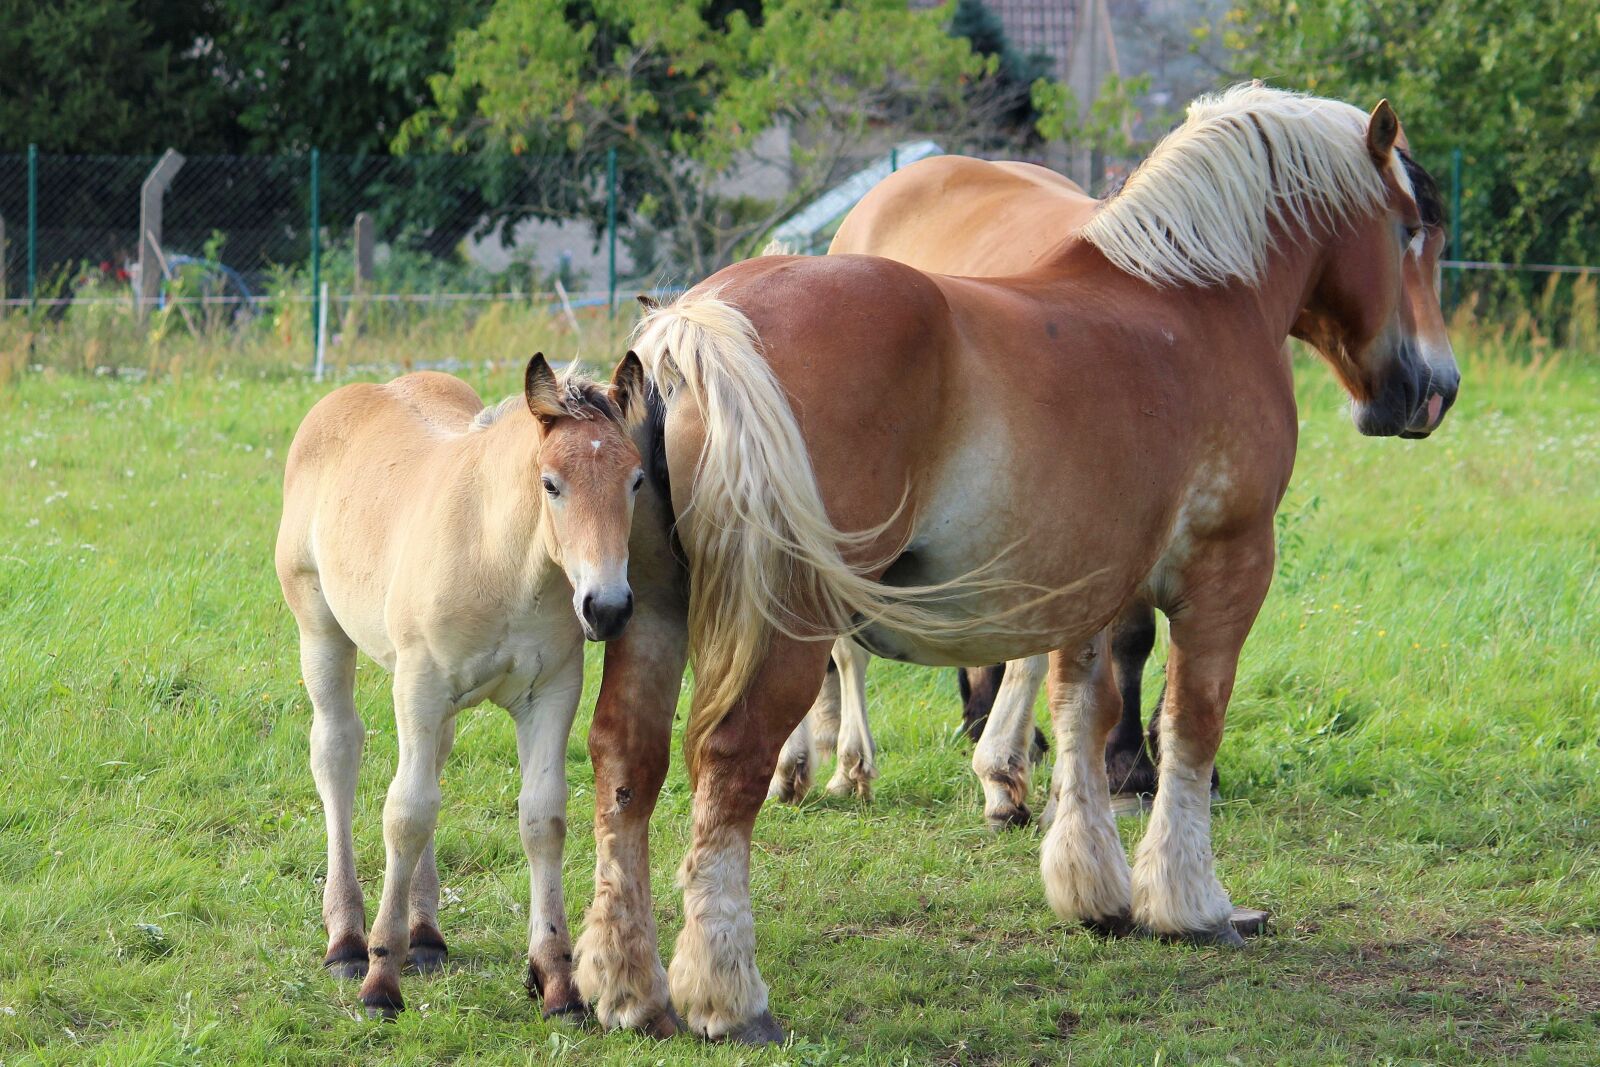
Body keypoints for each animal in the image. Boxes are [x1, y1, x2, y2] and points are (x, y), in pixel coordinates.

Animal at [275, 353, 651, 1019]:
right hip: (320, 632)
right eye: (551, 483)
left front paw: (557, 980)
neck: (500, 557)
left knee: (431, 767)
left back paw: (425, 934)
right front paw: (381, 978)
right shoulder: (419, 685)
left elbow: (542, 818)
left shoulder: (552, 694)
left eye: (634, 481)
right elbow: (405, 813)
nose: (606, 608)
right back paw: (346, 941)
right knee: (337, 753)